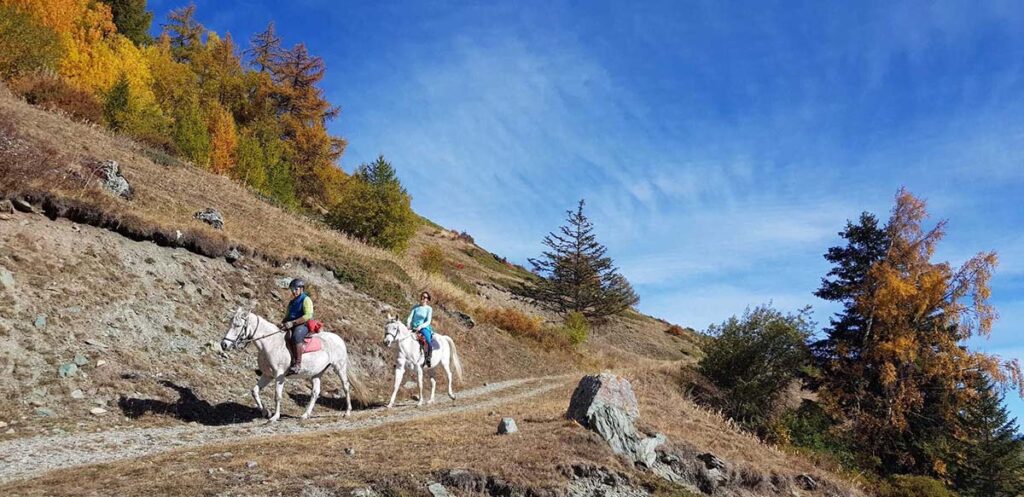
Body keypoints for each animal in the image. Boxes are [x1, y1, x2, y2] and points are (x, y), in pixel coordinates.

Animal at [222, 307, 358, 420]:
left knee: (345, 386)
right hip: (317, 373)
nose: (224, 344)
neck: (270, 343)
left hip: (339, 367)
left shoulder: (279, 376)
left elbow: (277, 396)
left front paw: (275, 417)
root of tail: (338, 339)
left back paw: (347, 412)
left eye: (238, 325)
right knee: (315, 392)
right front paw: (266, 412)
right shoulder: (267, 375)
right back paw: (305, 415)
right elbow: (255, 391)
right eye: (230, 324)